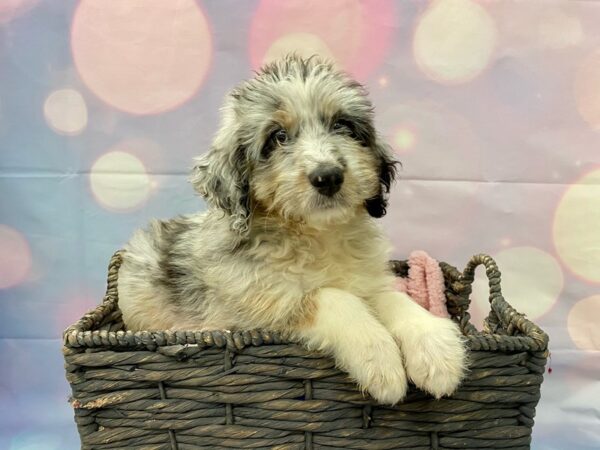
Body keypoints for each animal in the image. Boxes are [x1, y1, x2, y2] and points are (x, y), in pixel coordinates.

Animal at [117, 54, 464, 402]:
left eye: (342, 125)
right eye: (278, 137)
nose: (328, 176)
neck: (318, 235)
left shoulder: (369, 280)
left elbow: (393, 297)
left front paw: (436, 348)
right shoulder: (253, 305)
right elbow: (331, 297)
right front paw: (379, 358)